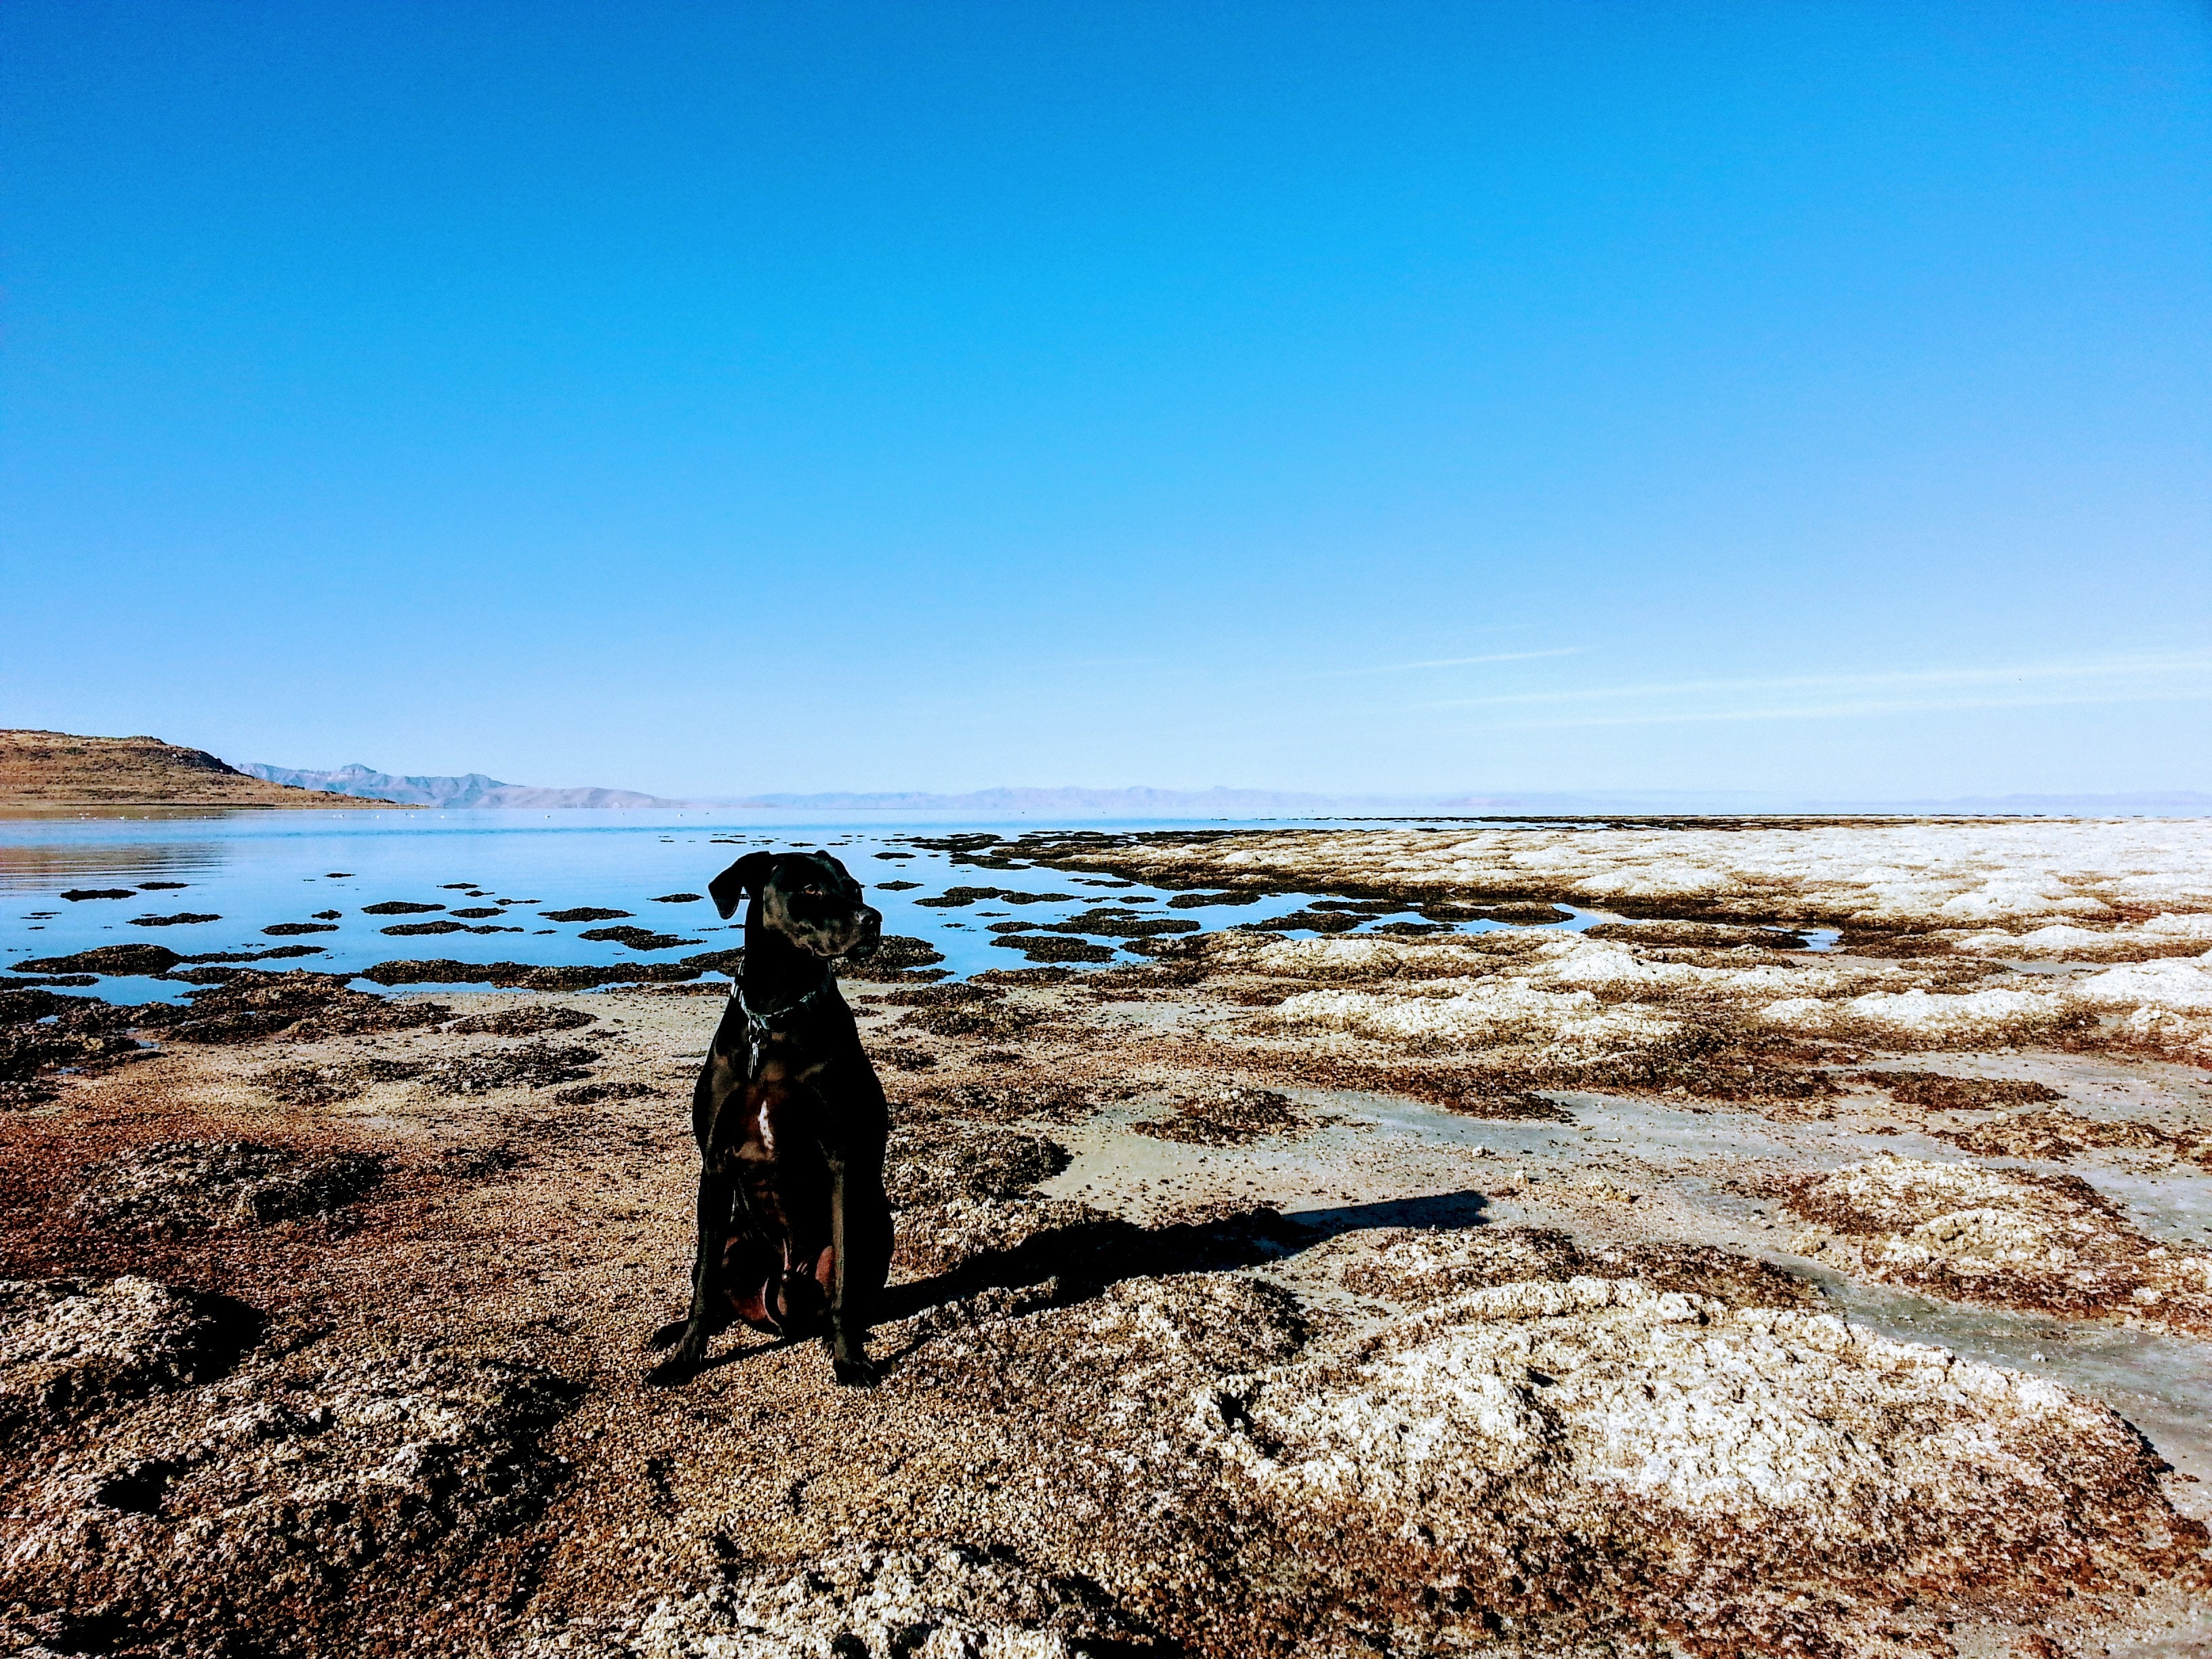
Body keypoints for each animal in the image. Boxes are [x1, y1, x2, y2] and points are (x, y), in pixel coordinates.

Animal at [650, 849, 893, 1380]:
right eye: (810, 888)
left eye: (856, 889)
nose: (873, 919)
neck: (777, 1016)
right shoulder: (716, 1163)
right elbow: (703, 1291)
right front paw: (685, 1357)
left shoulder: (840, 1159)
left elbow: (844, 1288)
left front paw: (849, 1359)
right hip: (731, 1238)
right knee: (713, 1285)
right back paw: (672, 1332)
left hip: (871, 1229)